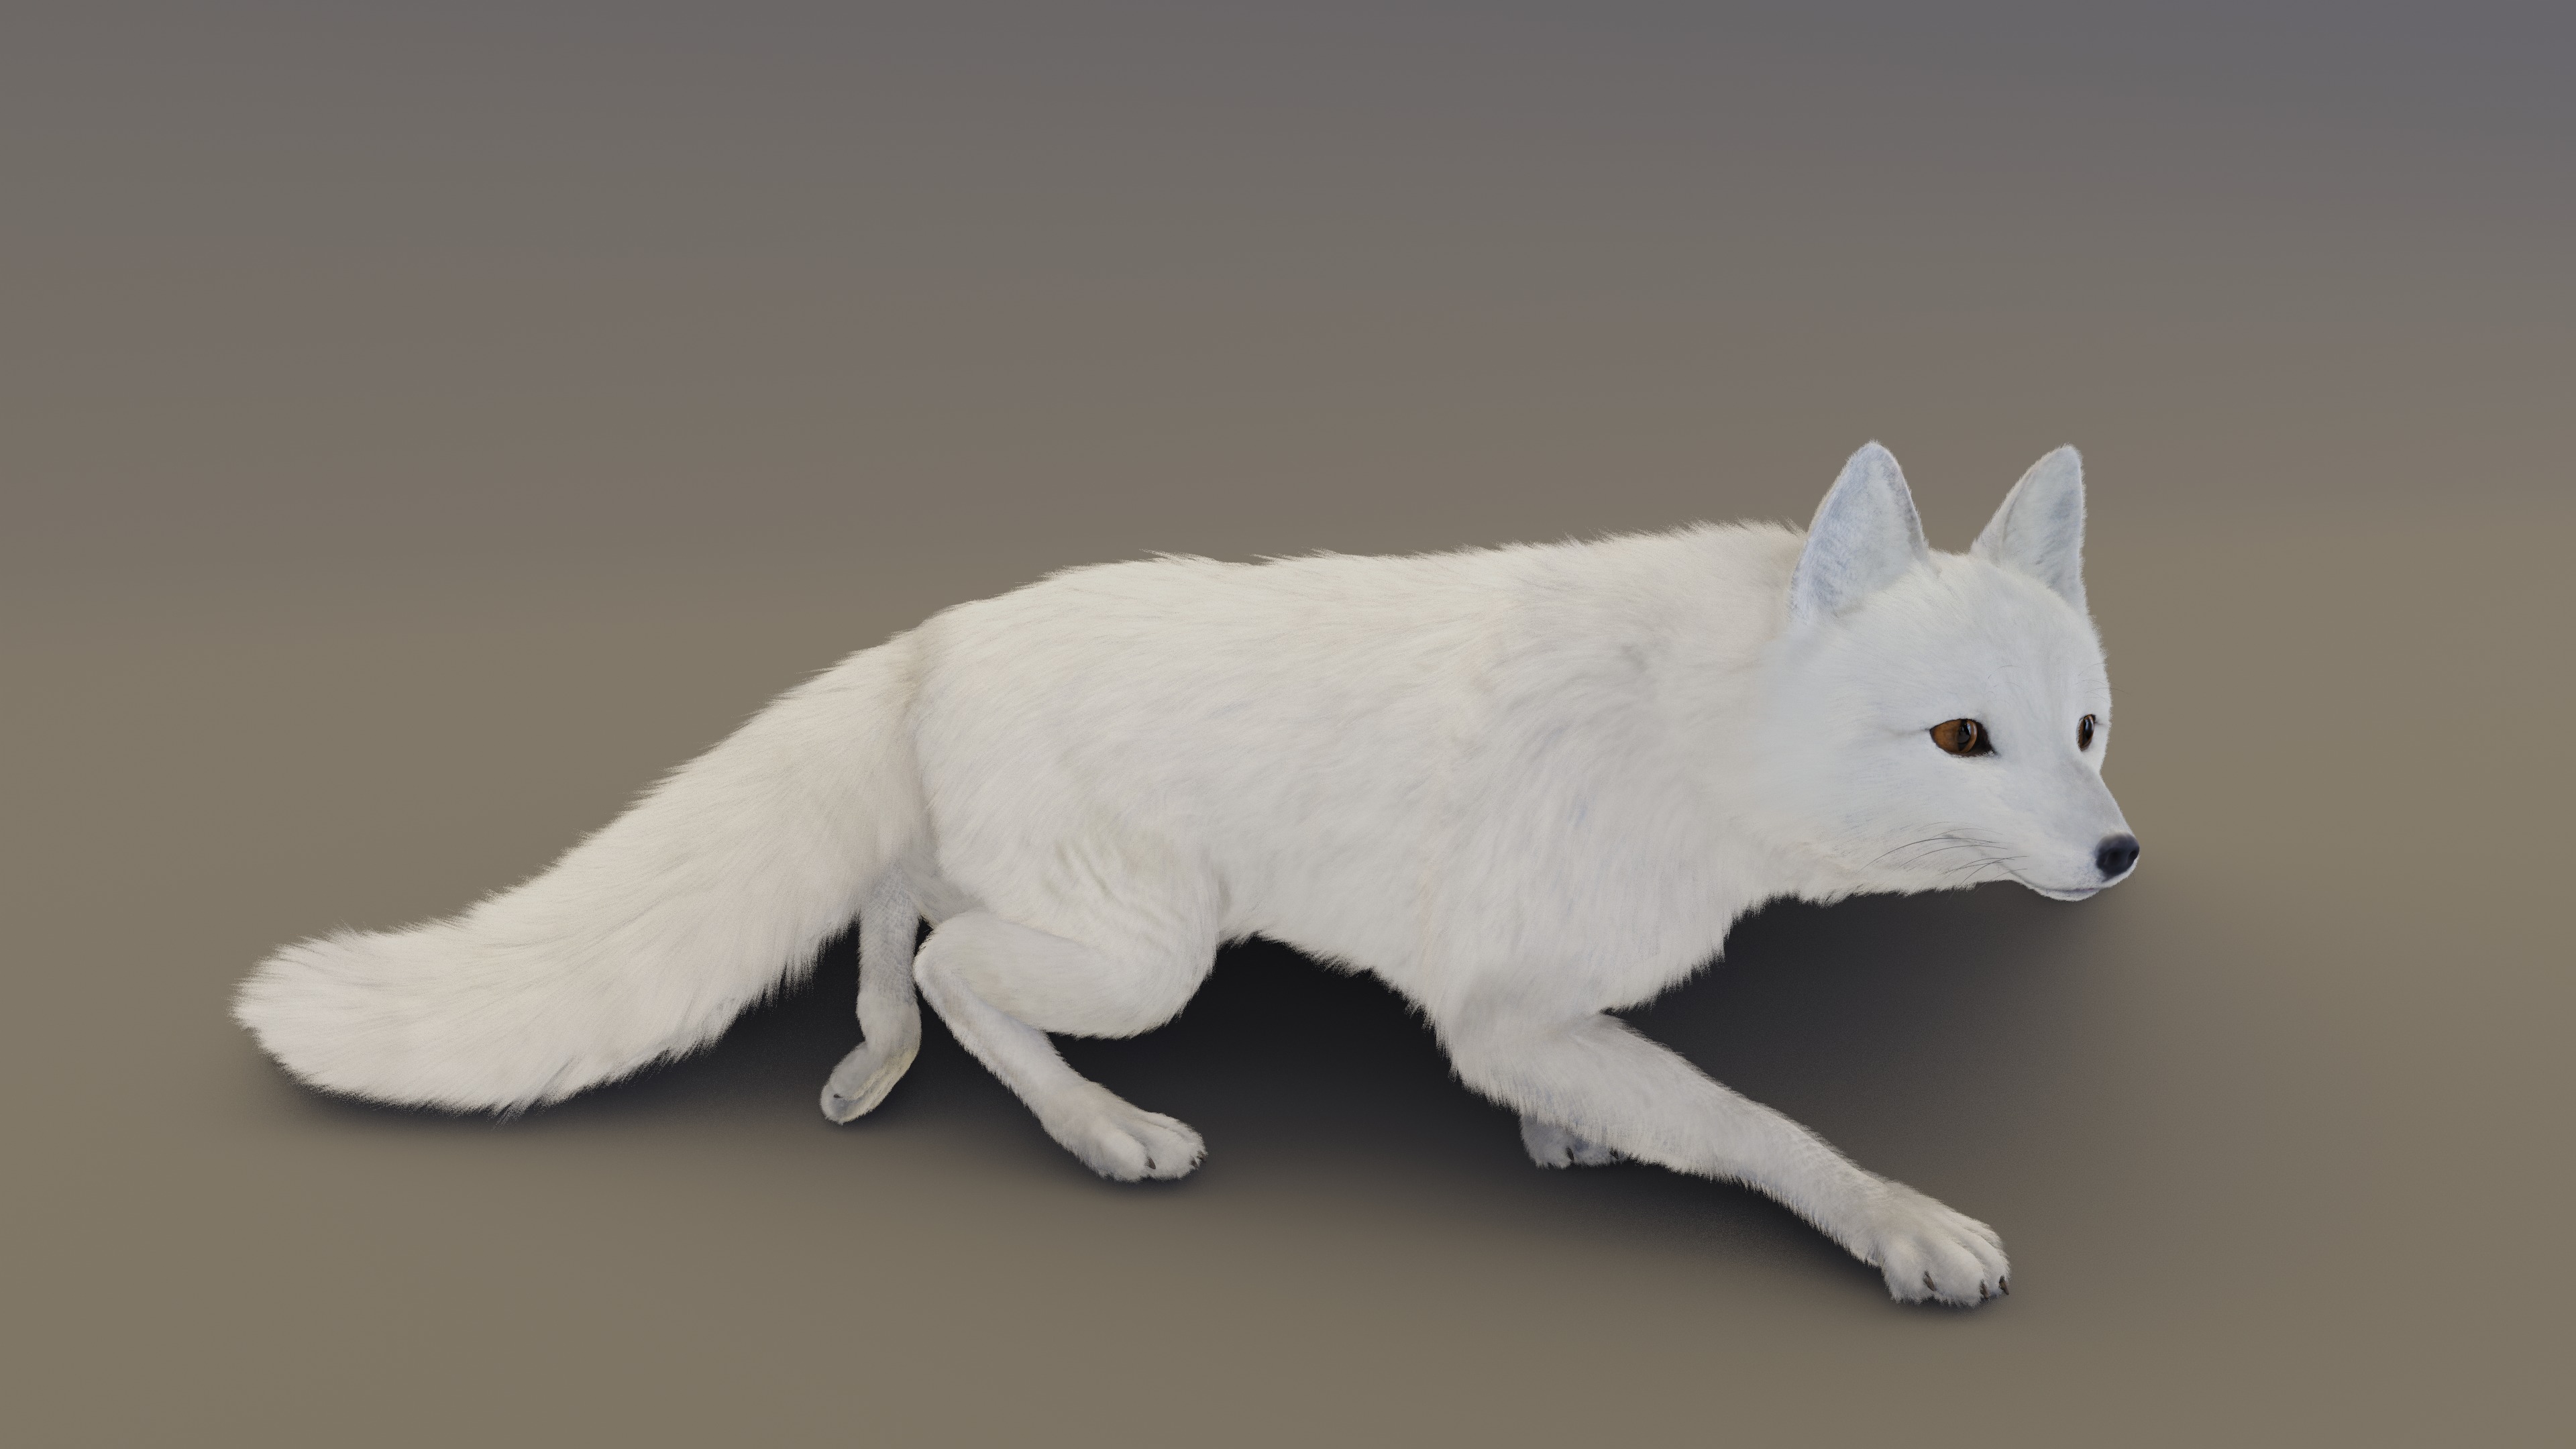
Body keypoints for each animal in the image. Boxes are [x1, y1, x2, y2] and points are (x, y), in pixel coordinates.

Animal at [236, 442, 2137, 1307]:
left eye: (2088, 729)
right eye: (1962, 739)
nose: (2121, 853)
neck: (1694, 728)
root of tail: (933, 632)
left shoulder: (1527, 1000)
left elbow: (1621, 1090)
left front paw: (1563, 1137)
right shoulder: (1501, 1005)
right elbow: (1760, 1130)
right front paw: (1900, 1223)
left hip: (1068, 904)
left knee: (903, 903)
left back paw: (865, 1058)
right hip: (1154, 959)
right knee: (959, 966)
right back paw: (1097, 1131)